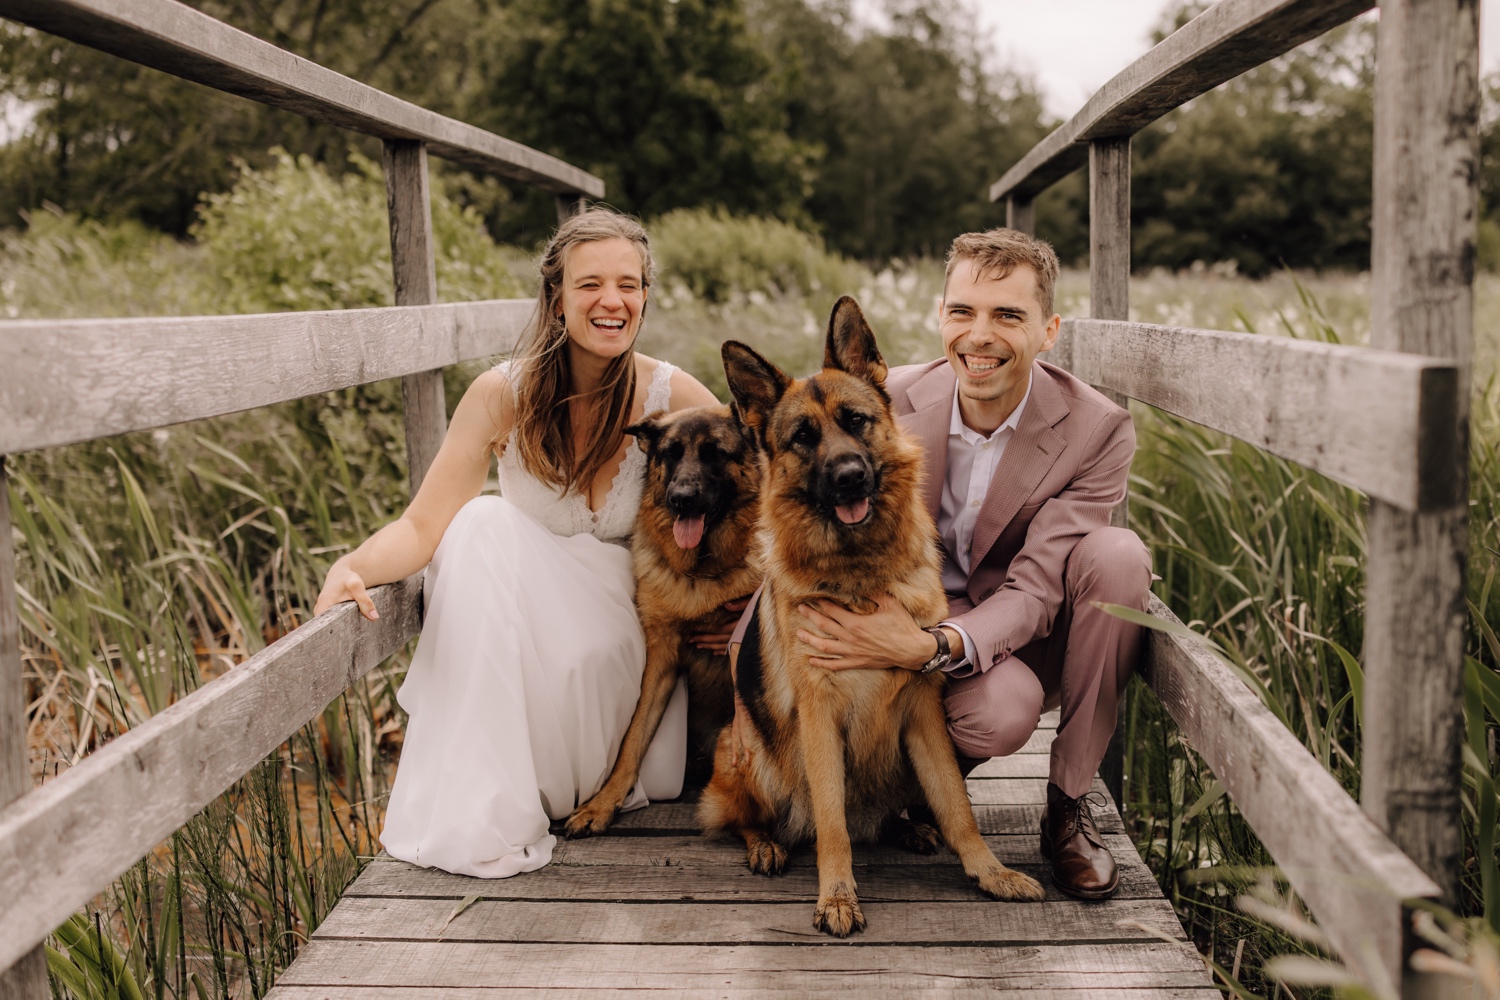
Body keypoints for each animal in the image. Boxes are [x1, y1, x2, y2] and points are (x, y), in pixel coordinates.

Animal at [567, 401, 768, 839]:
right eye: (670, 454)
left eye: (714, 453)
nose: (681, 499)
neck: (703, 573)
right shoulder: (660, 659)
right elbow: (632, 737)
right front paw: (602, 804)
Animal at [693, 296, 1038, 941]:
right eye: (802, 438)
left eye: (856, 421)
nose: (851, 475)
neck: (859, 571)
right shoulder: (819, 719)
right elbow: (831, 821)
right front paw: (837, 896)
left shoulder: (925, 713)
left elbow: (957, 806)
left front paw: (989, 872)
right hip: (752, 755)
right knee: (744, 816)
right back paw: (765, 844)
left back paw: (905, 827)